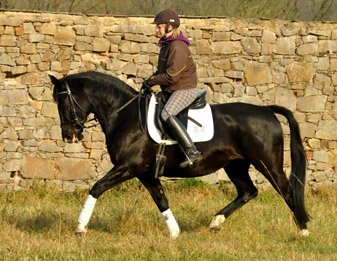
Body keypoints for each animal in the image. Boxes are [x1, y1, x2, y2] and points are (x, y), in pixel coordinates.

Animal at [48, 70, 308, 237]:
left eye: (63, 102)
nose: (68, 135)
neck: (126, 115)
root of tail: (266, 110)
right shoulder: (145, 173)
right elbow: (161, 200)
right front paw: (175, 233)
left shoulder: (129, 166)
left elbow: (97, 187)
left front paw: (80, 228)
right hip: (235, 165)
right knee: (248, 192)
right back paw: (216, 222)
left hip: (267, 164)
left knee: (288, 192)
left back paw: (303, 230)